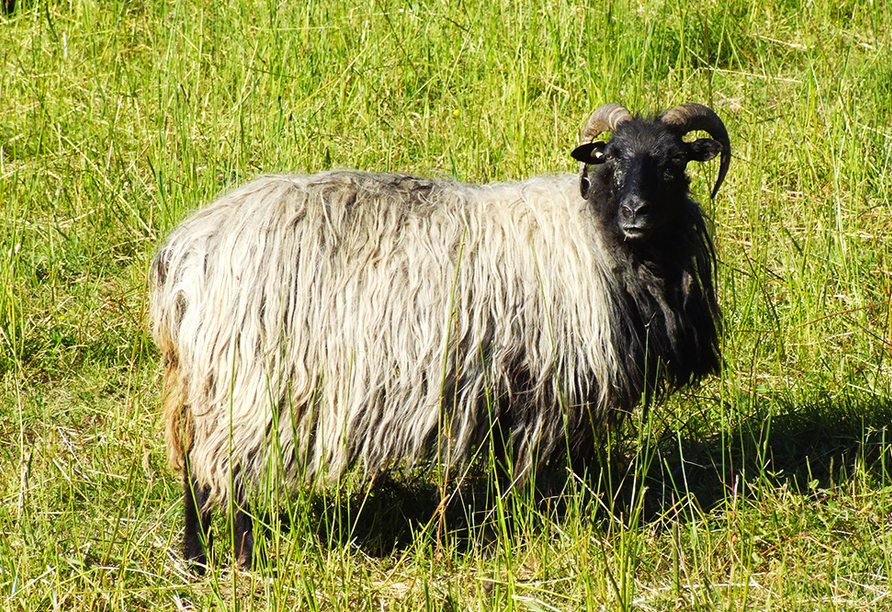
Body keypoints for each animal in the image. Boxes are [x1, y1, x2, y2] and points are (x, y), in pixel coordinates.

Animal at [148, 101, 732, 568]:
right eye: (610, 158)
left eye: (674, 163)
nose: (636, 211)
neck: (598, 235)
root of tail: (186, 251)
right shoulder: (549, 385)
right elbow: (534, 472)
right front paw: (535, 528)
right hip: (248, 380)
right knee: (223, 471)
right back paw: (243, 558)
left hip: (206, 381)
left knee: (195, 468)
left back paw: (195, 558)